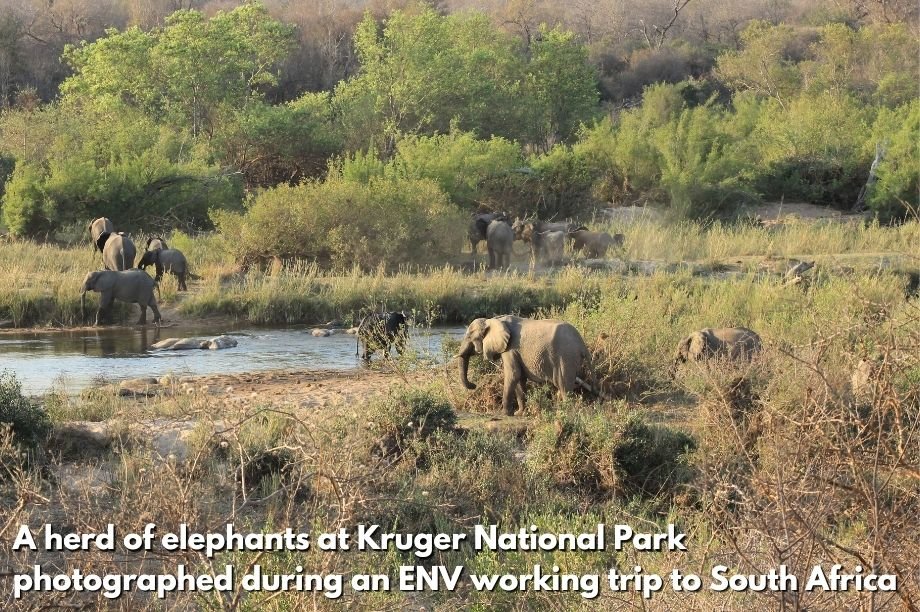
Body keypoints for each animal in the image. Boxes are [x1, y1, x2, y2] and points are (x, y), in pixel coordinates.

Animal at [457, 315, 589, 415]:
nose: (474, 385)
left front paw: (505, 414)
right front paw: (520, 413)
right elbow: (519, 378)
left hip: (566, 357)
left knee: (564, 386)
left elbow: (513, 374)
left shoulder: (510, 348)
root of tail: (582, 344)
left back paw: (566, 412)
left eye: (470, 337)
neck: (493, 320)